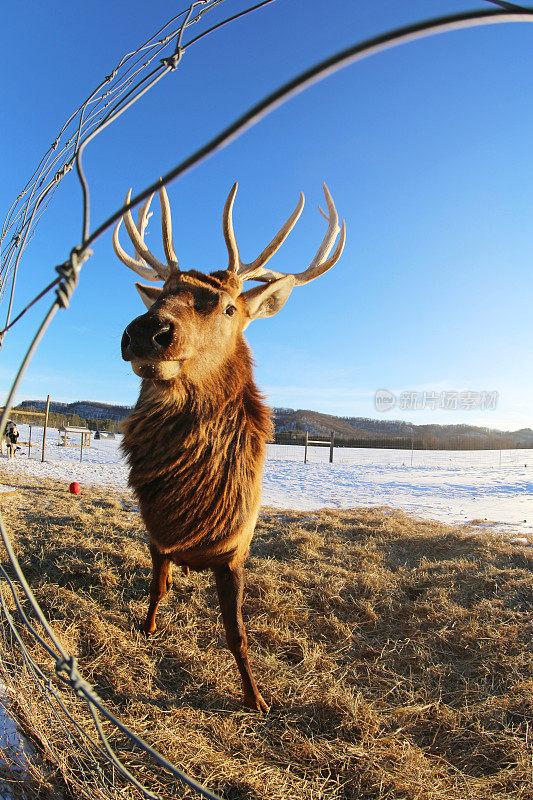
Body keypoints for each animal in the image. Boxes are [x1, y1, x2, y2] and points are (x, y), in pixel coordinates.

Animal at [112, 178, 344, 708]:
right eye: (162, 295)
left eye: (229, 306)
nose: (146, 331)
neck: (190, 509)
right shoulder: (157, 534)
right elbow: (155, 590)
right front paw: (147, 629)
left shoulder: (235, 550)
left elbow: (237, 633)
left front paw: (256, 698)